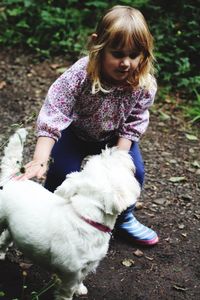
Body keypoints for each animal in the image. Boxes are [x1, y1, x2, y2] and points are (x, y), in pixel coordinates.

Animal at [0, 129, 141, 300]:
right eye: (109, 165)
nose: (116, 149)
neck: (87, 219)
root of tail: (10, 177)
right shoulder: (71, 272)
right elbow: (68, 290)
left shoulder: (86, 266)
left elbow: (81, 280)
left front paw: (81, 289)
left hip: (12, 224)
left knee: (5, 237)